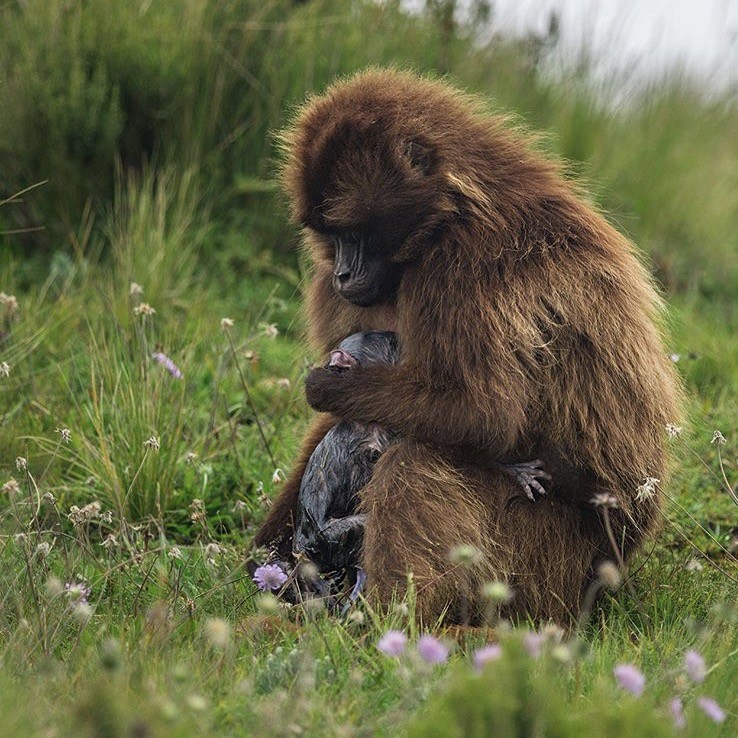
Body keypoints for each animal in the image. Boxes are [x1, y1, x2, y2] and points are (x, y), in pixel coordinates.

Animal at [292, 330, 548, 600]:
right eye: (390, 342)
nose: (397, 335)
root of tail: (301, 550)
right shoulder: (375, 439)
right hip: (327, 540)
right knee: (363, 525)